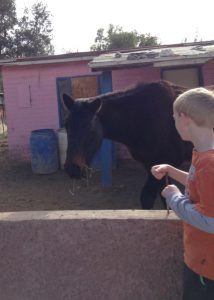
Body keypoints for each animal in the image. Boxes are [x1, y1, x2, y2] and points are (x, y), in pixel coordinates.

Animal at [62, 79, 193, 209]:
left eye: (88, 126)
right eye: (66, 125)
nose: (72, 169)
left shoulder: (166, 163)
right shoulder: (150, 165)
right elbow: (147, 197)